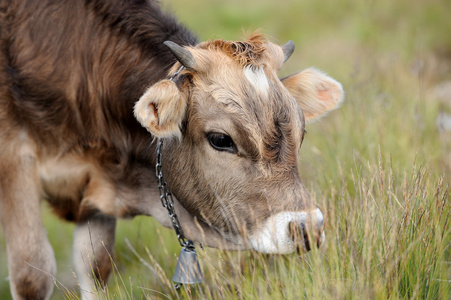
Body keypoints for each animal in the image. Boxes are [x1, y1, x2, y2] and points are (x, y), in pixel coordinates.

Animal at [0, 0, 346, 298]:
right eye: (221, 139)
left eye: (301, 132)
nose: (307, 228)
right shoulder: (14, 161)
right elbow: (32, 276)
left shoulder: (98, 185)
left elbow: (95, 266)